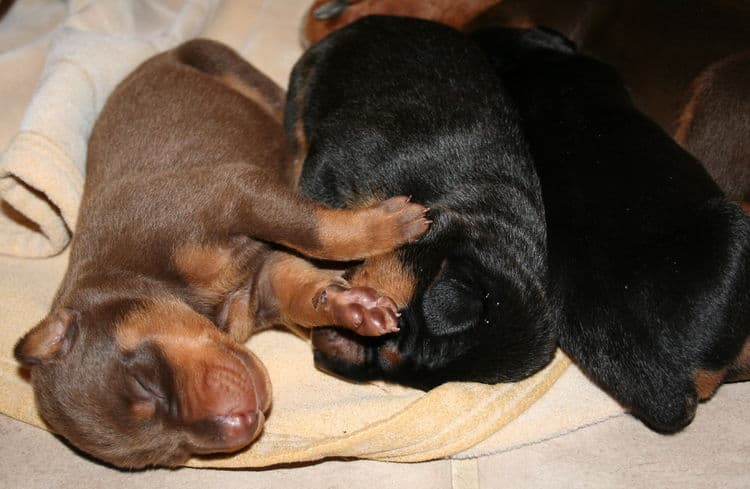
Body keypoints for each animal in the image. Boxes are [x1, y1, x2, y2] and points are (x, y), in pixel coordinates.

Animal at [14, 39, 432, 468]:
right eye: (172, 456)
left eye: (146, 384)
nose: (243, 425)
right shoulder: (266, 282)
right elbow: (306, 296)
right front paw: (354, 308)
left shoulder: (234, 193)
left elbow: (315, 231)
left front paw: (386, 228)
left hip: (219, 59)